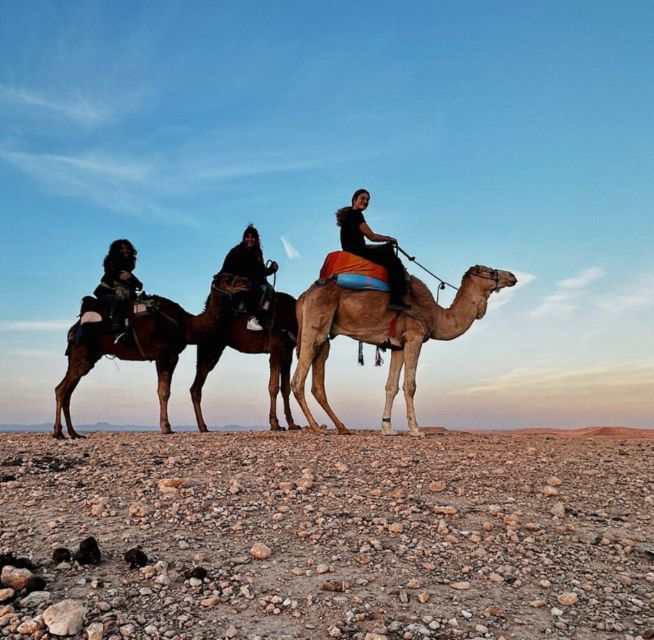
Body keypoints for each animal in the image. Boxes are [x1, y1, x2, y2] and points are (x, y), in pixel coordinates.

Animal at [52, 274, 249, 439]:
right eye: (228, 279)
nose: (246, 283)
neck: (185, 324)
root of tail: (73, 329)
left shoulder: (173, 357)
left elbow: (166, 390)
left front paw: (167, 426)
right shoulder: (162, 354)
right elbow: (163, 391)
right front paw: (166, 427)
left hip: (86, 357)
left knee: (66, 391)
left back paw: (73, 433)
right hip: (82, 354)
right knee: (61, 390)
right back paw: (58, 433)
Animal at [190, 291, 301, 432]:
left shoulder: (288, 352)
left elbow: (285, 389)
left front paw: (292, 425)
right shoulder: (276, 348)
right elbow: (274, 386)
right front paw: (275, 424)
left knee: (195, 386)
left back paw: (202, 426)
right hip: (210, 349)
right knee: (196, 387)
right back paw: (203, 427)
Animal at [291, 265, 517, 436]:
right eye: (490, 271)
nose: (513, 276)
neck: (436, 315)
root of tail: (304, 295)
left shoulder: (398, 345)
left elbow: (391, 386)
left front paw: (387, 428)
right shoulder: (414, 337)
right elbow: (410, 385)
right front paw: (416, 429)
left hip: (324, 335)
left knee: (317, 383)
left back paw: (341, 427)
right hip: (316, 324)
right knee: (297, 380)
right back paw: (316, 427)